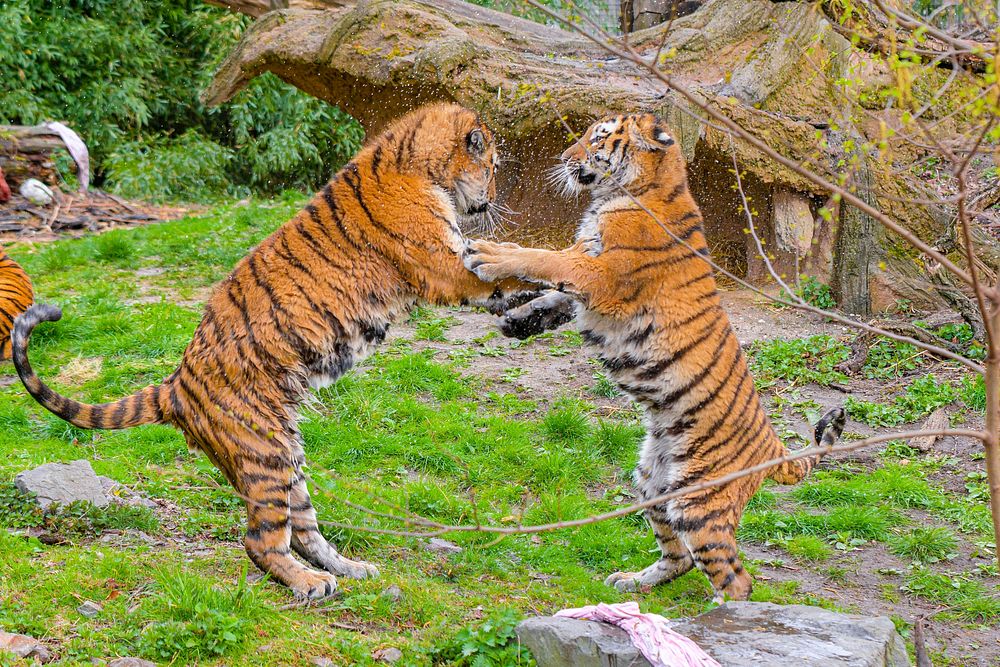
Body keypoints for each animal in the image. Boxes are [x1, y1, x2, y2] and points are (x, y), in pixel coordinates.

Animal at [13, 104, 532, 600]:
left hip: (286, 458)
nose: (493, 199)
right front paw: (531, 287)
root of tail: (174, 385)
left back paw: (350, 569)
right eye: (493, 165)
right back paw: (309, 584)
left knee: (303, 530)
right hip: (266, 454)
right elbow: (496, 277)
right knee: (260, 542)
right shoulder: (441, 265)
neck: (416, 163)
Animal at [466, 112, 844, 604]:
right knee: (679, 556)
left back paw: (715, 618)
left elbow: (544, 259)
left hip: (698, 501)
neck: (632, 191)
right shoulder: (589, 275)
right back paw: (632, 582)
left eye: (598, 138)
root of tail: (774, 447)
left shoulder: (601, 275)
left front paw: (489, 255)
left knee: (736, 580)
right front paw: (517, 318)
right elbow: (554, 294)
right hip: (652, 481)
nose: (564, 157)